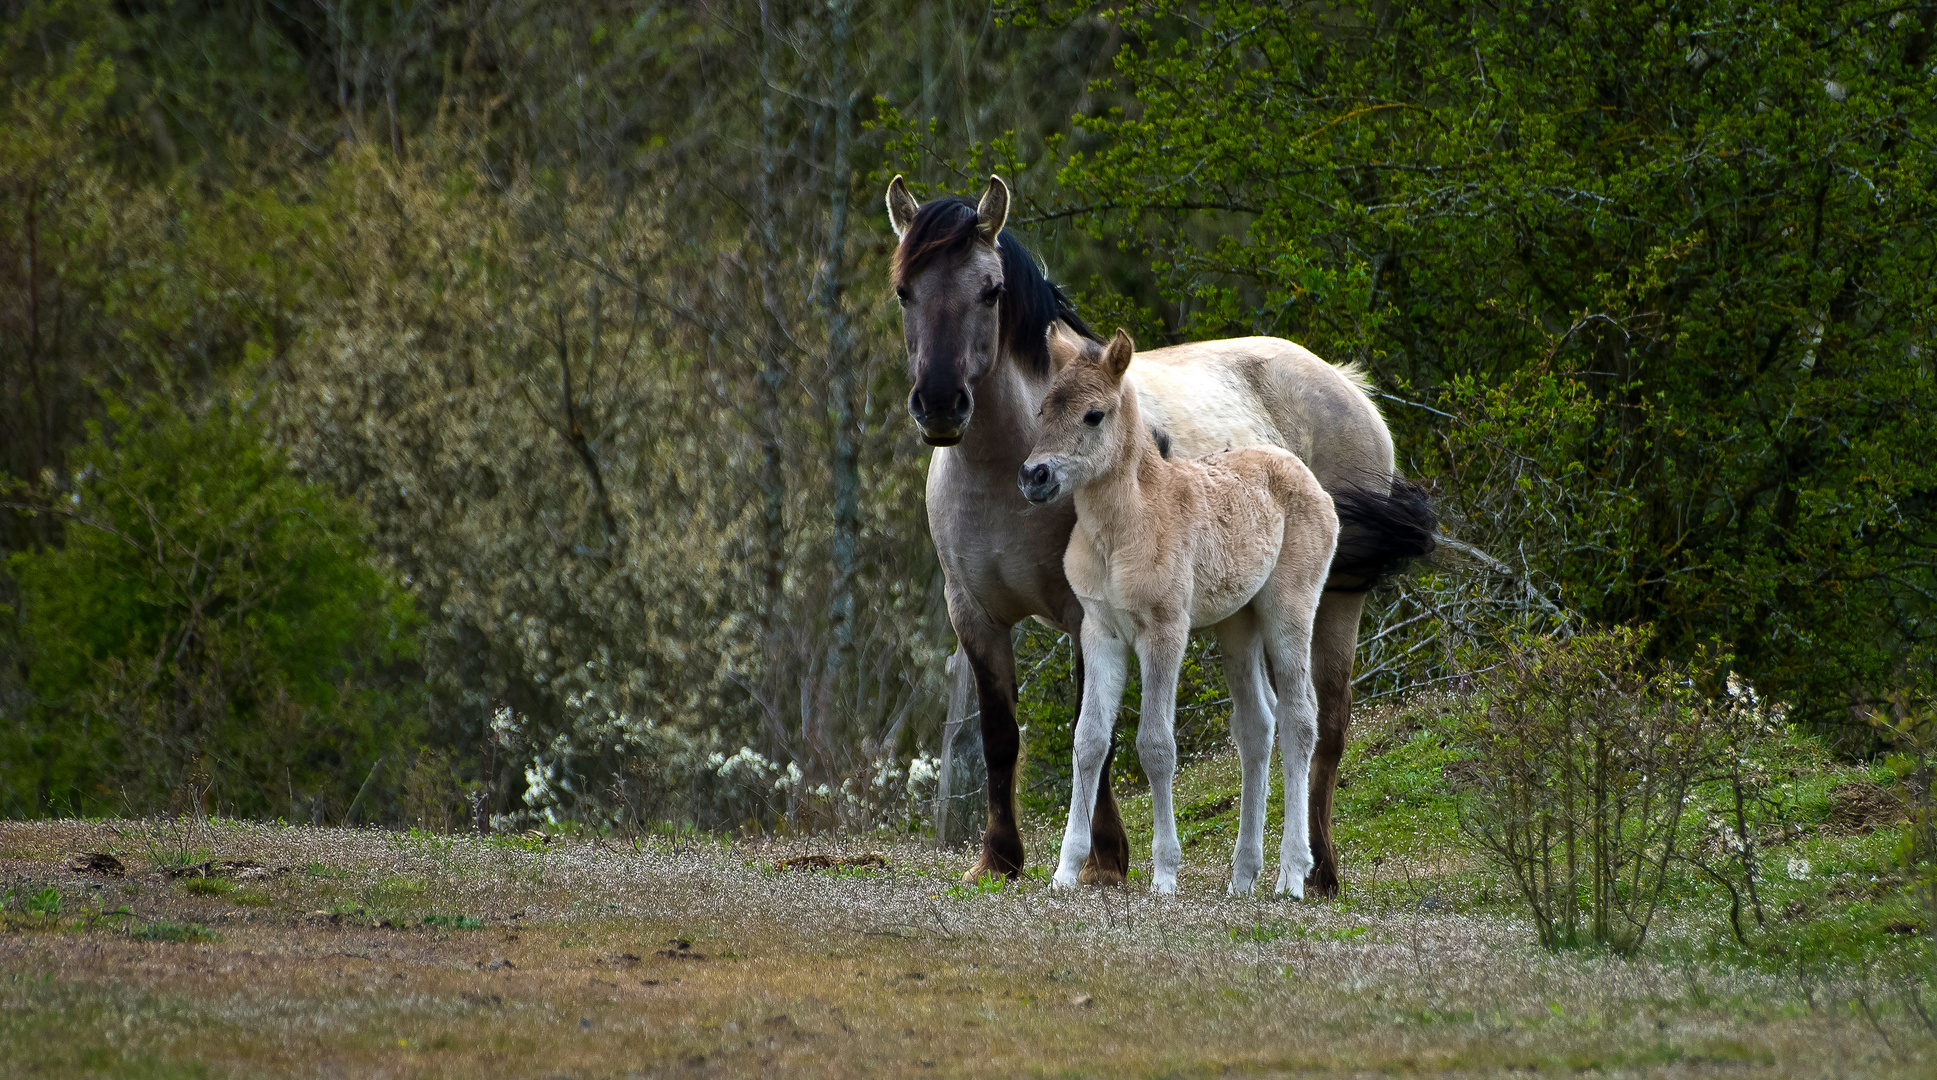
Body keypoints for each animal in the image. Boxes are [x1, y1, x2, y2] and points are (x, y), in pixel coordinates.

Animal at [1022, 330, 1340, 898]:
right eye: (1043, 409)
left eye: (1094, 415)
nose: (1035, 476)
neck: (1122, 530)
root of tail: (1305, 475)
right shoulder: (1099, 631)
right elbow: (1088, 740)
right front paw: (1065, 872)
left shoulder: (1165, 630)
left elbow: (1155, 745)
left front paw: (1165, 874)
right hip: (1238, 625)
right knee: (1257, 725)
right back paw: (1243, 876)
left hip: (1289, 608)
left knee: (1300, 718)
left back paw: (1291, 875)